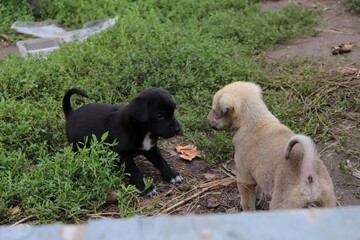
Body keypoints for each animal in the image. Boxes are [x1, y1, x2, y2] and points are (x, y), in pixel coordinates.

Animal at [207, 81, 336, 210]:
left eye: (214, 110)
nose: (207, 120)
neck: (255, 121)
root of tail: (308, 176)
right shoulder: (256, 174)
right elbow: (258, 190)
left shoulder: (244, 179)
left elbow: (247, 203)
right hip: (328, 203)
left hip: (280, 205)